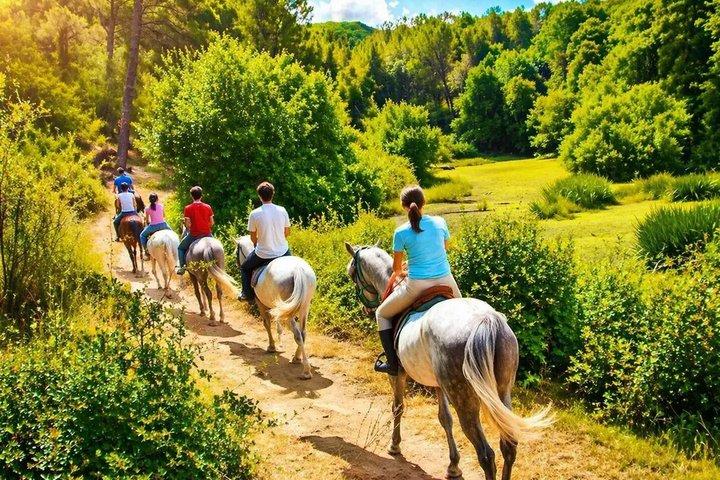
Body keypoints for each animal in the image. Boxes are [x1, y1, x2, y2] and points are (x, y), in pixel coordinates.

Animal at [236, 235, 317, 380]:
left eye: (236, 252)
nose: (237, 264)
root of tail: (298, 270)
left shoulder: (260, 303)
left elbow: (266, 323)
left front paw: (271, 346)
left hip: (289, 311)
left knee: (297, 335)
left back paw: (306, 371)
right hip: (304, 306)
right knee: (303, 333)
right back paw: (297, 358)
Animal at [344, 243, 552, 480]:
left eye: (351, 274)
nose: (366, 309)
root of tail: (486, 320)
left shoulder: (397, 374)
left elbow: (398, 407)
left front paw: (394, 446)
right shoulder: (438, 383)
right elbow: (445, 418)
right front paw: (453, 466)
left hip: (463, 397)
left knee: (486, 454)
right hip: (502, 391)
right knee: (508, 445)